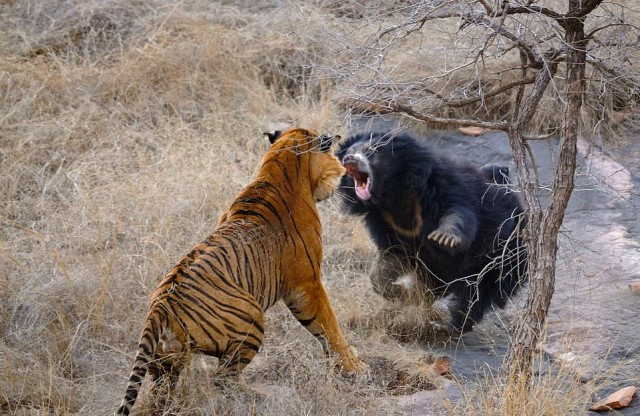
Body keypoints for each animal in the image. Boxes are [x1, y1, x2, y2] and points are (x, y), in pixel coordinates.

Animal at [115, 128, 364, 414]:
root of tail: (160, 306)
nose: (343, 169)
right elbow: (329, 326)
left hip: (166, 361)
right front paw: (355, 367)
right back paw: (262, 396)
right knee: (223, 378)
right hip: (251, 318)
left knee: (161, 394)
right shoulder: (307, 283)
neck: (279, 164)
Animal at [338, 132, 528, 334]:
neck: (392, 194)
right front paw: (403, 293)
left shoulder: (443, 186)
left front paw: (445, 238)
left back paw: (451, 325)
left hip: (502, 257)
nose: (349, 159)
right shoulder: (386, 223)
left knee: (477, 294)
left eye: (371, 151)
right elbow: (388, 262)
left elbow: (458, 212)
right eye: (349, 152)